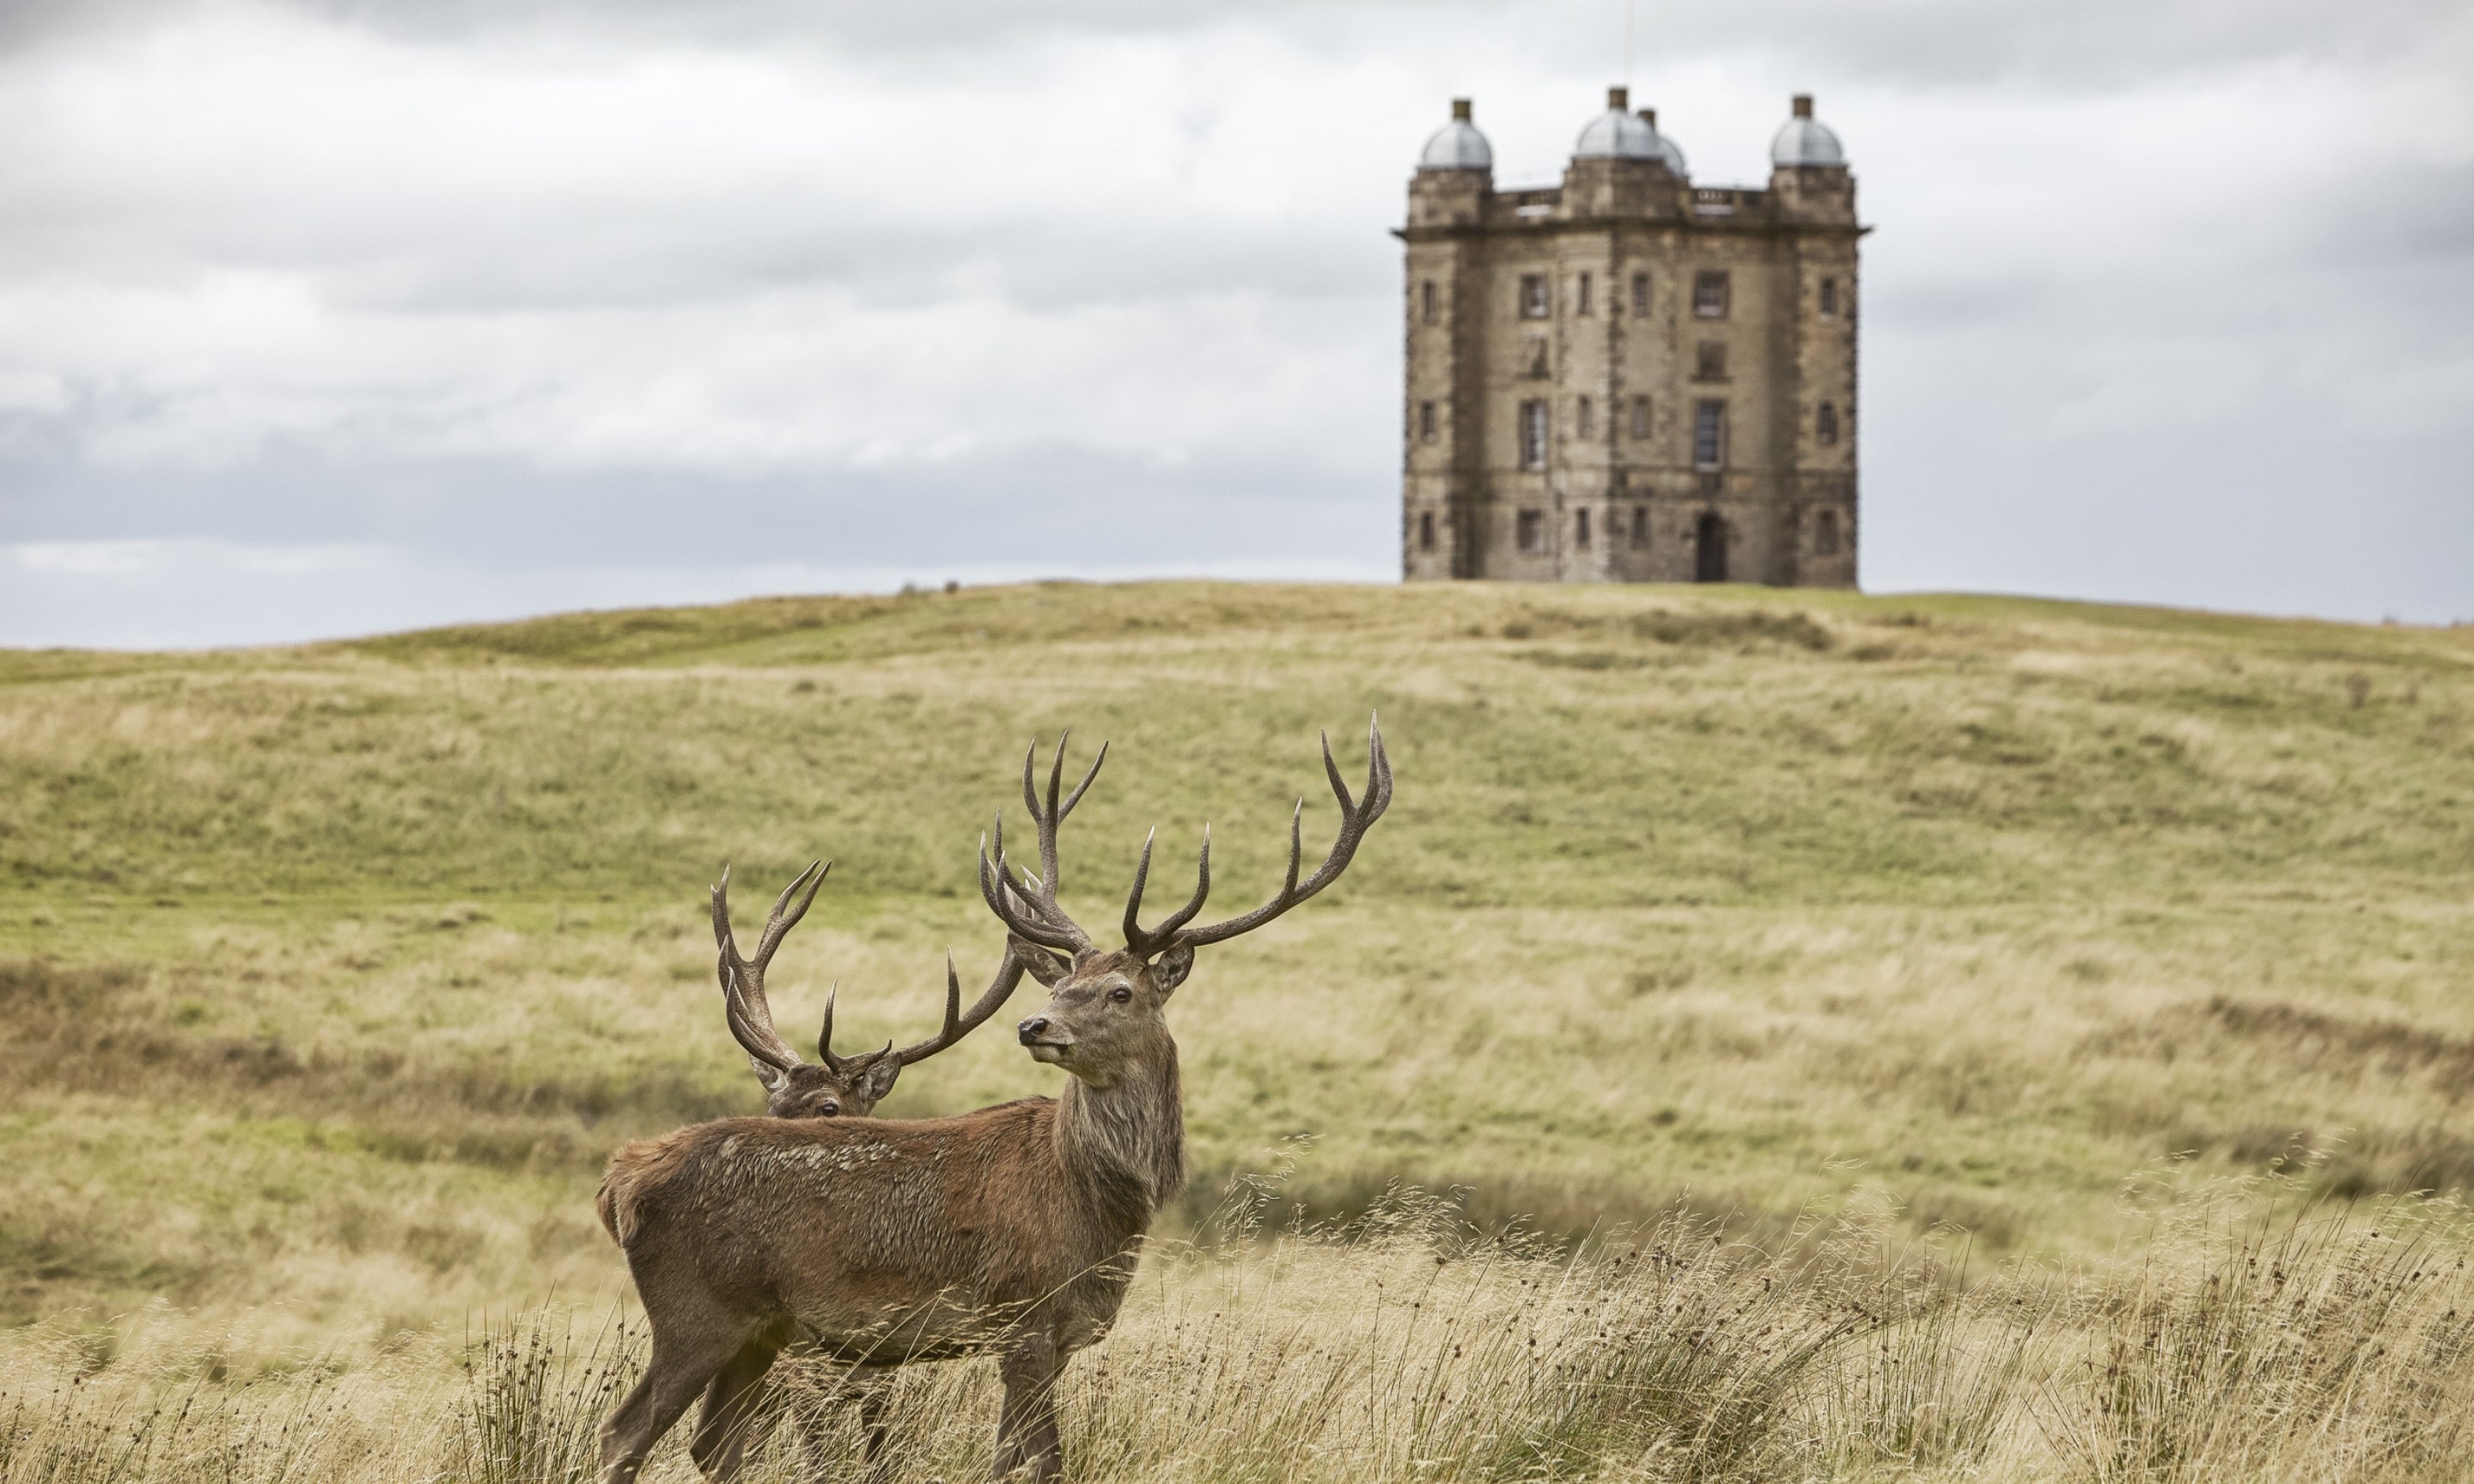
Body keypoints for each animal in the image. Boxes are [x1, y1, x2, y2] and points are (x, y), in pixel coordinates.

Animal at [596, 857, 1029, 1481]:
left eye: (829, 1108)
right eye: (773, 1103)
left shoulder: (879, 1369)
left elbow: (880, 1453)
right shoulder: (807, 1363)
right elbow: (820, 1455)